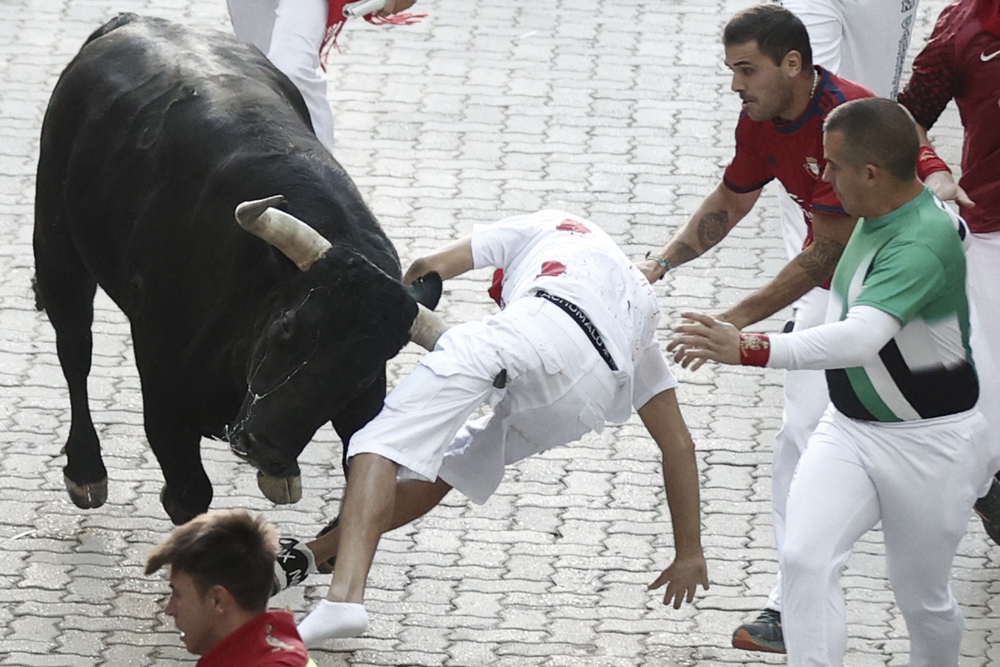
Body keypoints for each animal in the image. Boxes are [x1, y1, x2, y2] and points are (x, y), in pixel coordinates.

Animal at [31, 15, 442, 524]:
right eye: (287, 325)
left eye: (365, 371)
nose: (263, 445)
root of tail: (136, 21)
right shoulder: (162, 385)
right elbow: (189, 493)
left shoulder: (363, 406)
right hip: (57, 248)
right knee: (74, 350)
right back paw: (86, 472)